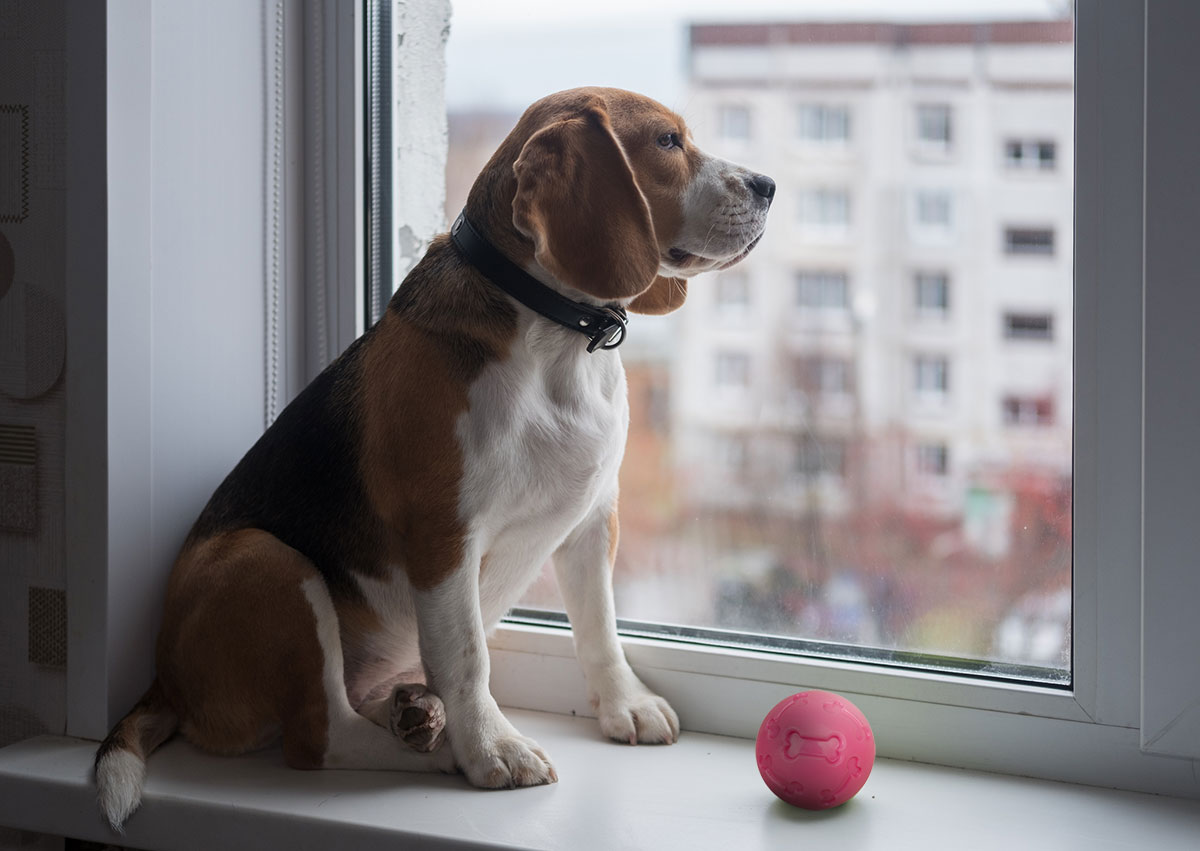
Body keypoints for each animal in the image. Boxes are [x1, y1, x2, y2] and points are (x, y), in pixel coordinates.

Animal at [93, 88, 768, 830]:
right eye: (668, 142)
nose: (767, 185)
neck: (554, 337)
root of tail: (163, 678)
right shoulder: (444, 534)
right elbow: (466, 655)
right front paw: (492, 750)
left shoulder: (592, 518)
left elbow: (599, 625)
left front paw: (627, 703)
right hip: (265, 560)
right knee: (318, 737)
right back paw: (437, 749)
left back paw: (414, 715)